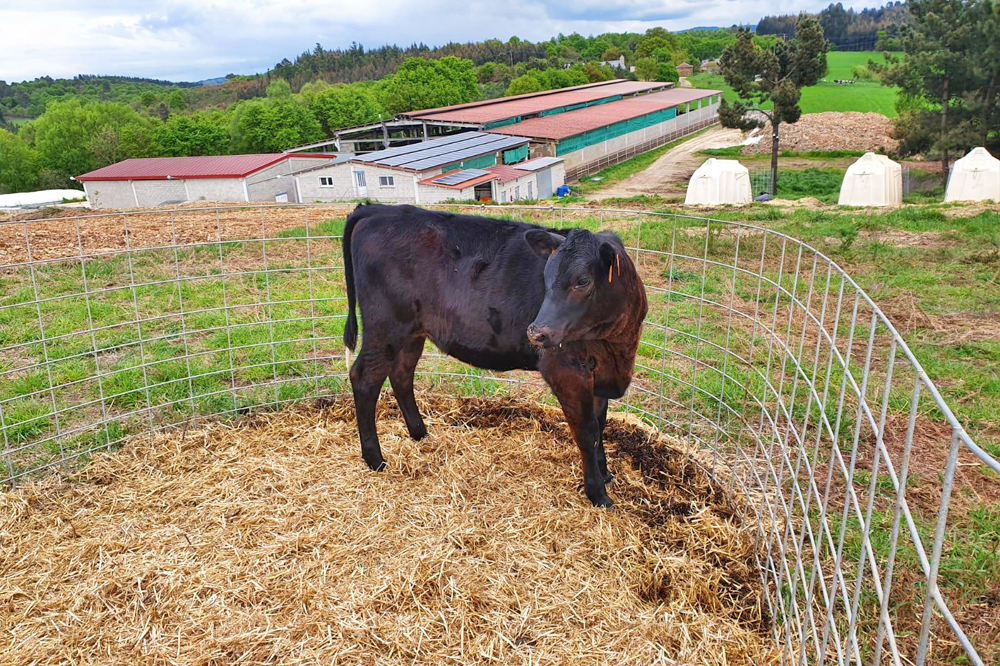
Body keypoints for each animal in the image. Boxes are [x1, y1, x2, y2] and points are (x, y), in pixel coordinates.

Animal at [342, 203, 647, 507]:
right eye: (546, 277)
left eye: (583, 281)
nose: (536, 332)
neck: (616, 346)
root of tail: (378, 209)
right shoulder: (567, 371)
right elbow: (587, 431)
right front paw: (598, 492)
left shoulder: (601, 372)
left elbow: (600, 424)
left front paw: (605, 473)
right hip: (385, 327)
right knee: (365, 378)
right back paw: (375, 459)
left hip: (412, 332)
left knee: (402, 374)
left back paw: (419, 433)